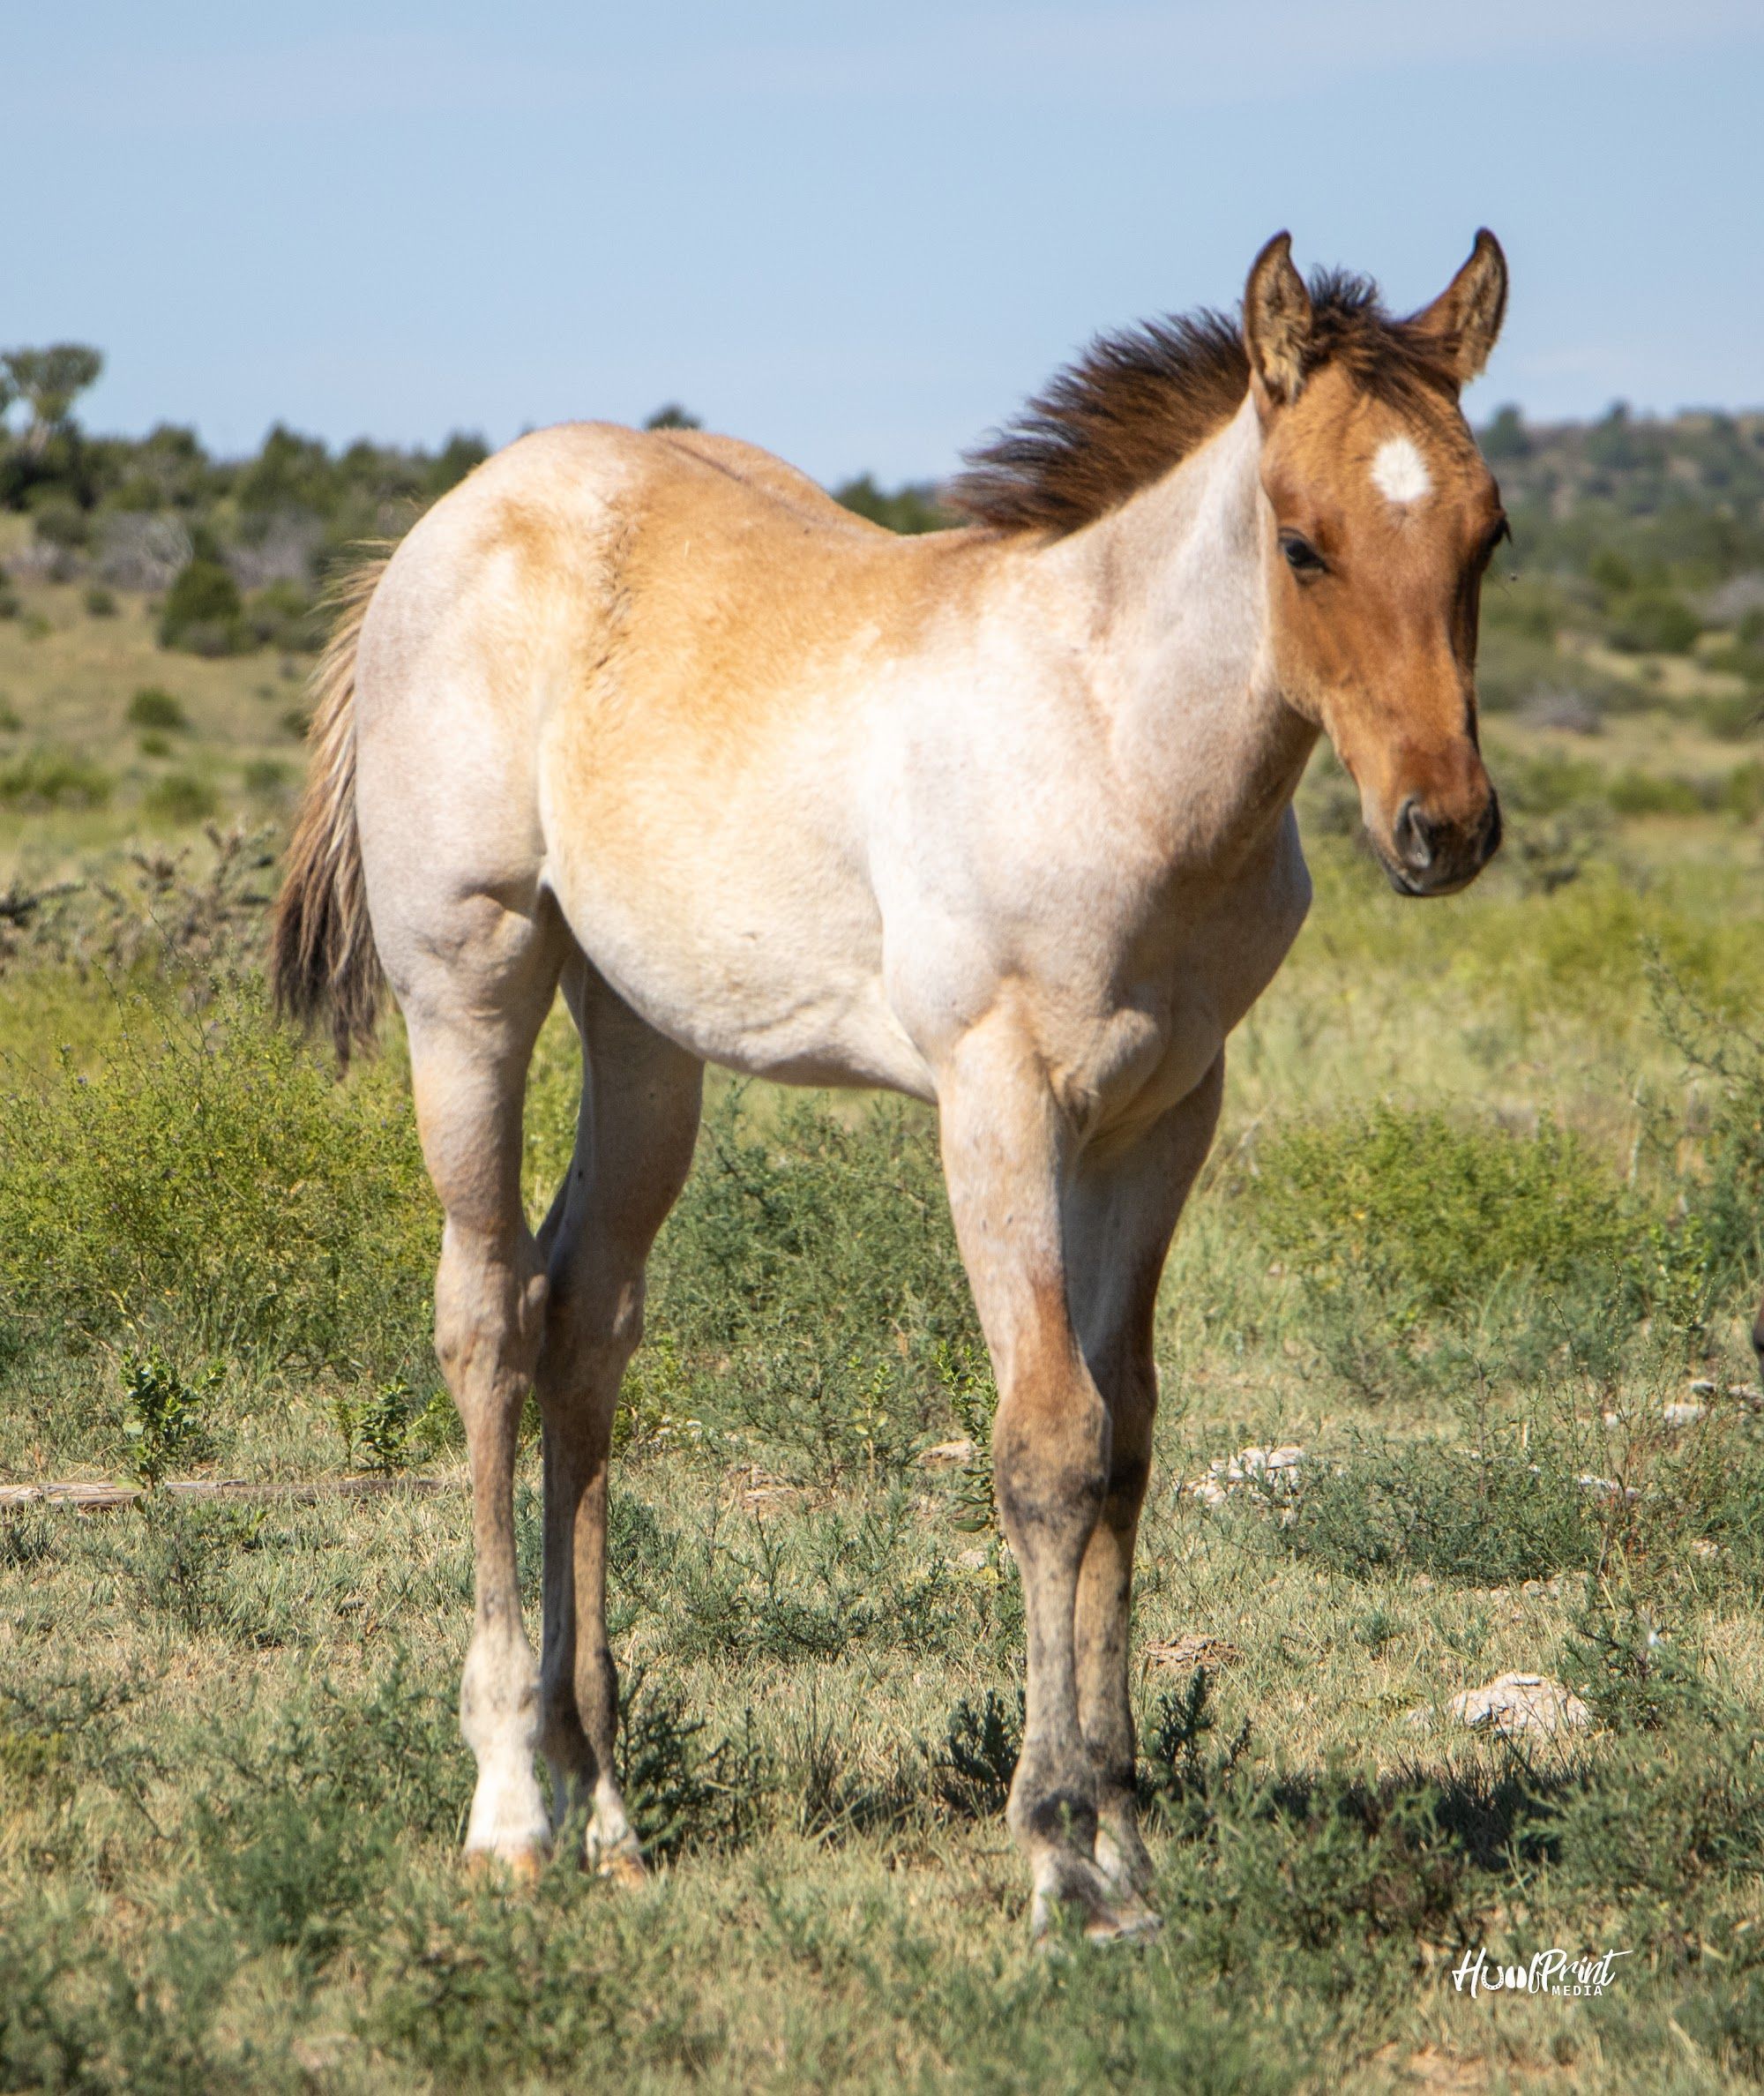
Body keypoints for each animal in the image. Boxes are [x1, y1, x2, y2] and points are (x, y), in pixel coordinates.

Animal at [272, 229, 1510, 1942]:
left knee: (585, 1325)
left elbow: (1127, 1443)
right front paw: (1061, 1848)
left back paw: (608, 1808)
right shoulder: (999, 1099)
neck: (1118, 746)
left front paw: (1126, 1835)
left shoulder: (1162, 1118)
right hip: (469, 987)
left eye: (1487, 535)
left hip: (643, 1038)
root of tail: (442, 526)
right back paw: (512, 1802)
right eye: (1303, 544)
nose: (1443, 829)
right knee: (485, 1321)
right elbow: (1046, 1445)